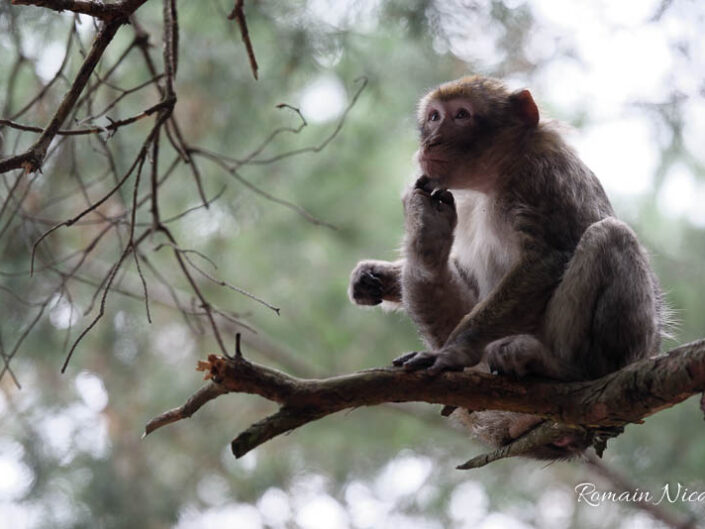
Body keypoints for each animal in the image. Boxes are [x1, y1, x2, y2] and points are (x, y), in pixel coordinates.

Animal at [346, 74, 664, 458]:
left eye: (462, 115)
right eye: (435, 117)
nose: (432, 140)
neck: (492, 179)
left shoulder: (543, 176)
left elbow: (544, 261)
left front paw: (455, 350)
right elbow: (470, 275)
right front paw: (378, 275)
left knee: (611, 236)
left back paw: (568, 368)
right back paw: (427, 245)